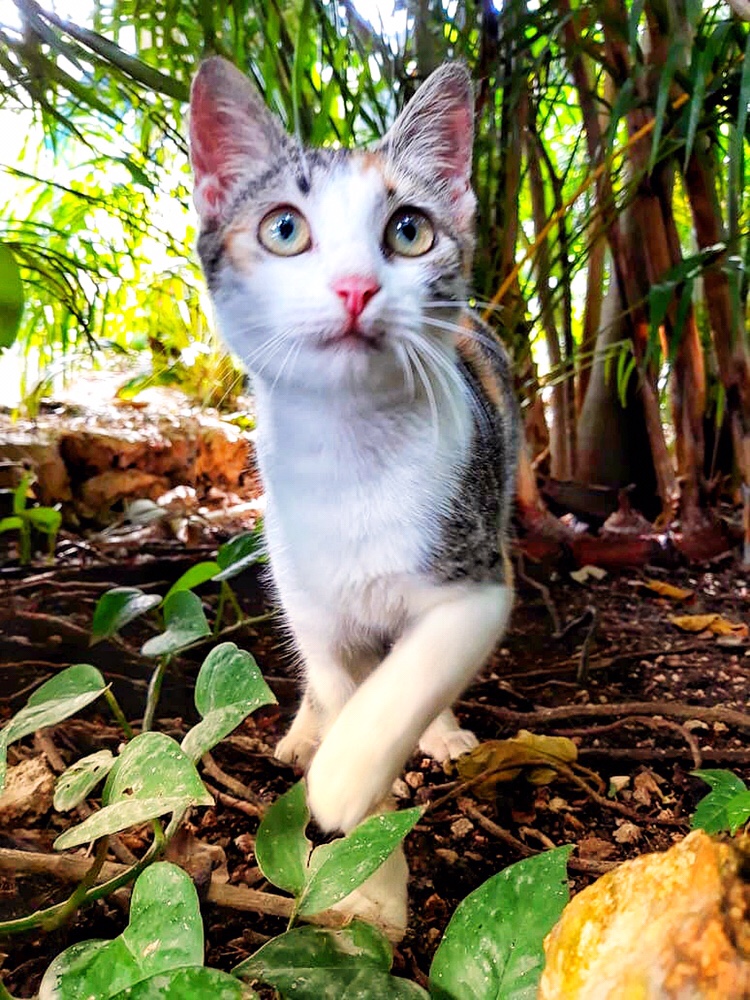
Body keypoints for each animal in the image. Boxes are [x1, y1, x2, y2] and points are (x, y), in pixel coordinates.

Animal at [189, 57, 519, 935]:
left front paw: (349, 775)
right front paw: (368, 885)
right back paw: (306, 733)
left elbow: (409, 677)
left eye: (409, 231)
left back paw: (434, 734)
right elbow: (337, 682)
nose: (354, 288)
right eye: (284, 229)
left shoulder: (479, 571)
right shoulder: (309, 592)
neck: (351, 455)